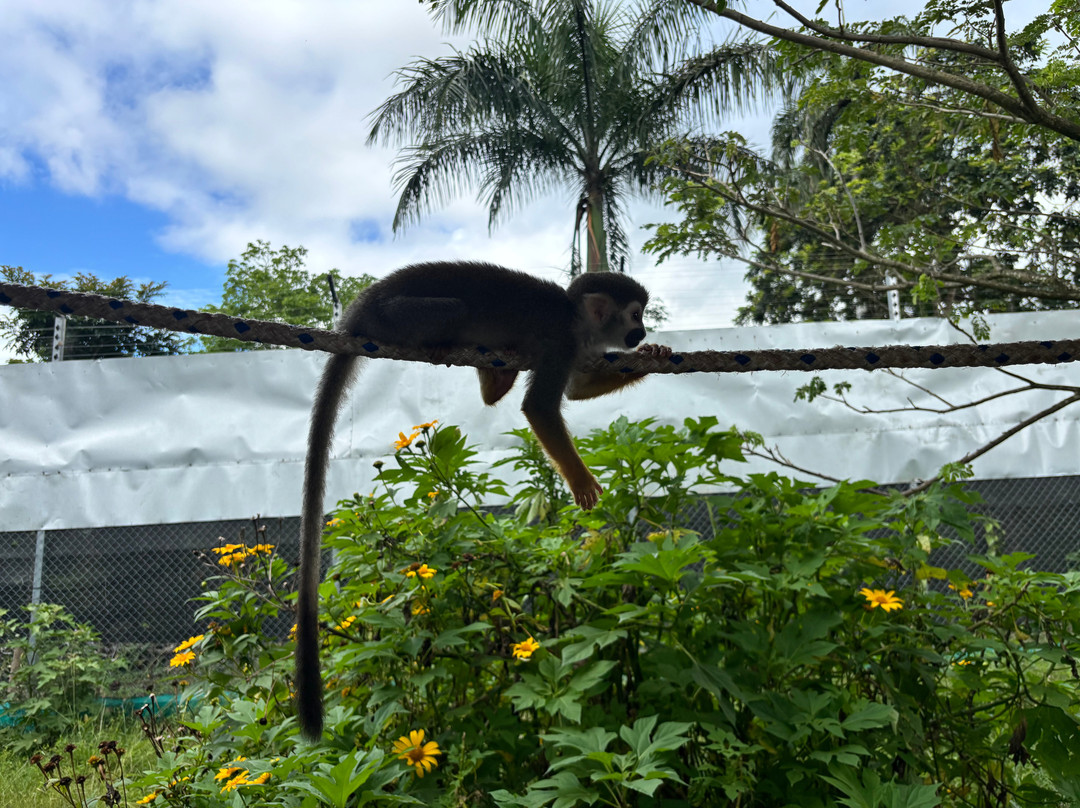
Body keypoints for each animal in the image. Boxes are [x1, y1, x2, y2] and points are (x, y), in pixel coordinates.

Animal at [295, 260, 669, 740]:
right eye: (634, 314)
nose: (641, 333)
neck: (576, 320)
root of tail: (356, 313)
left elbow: (578, 390)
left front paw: (655, 357)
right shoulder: (561, 342)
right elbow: (541, 408)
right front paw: (582, 481)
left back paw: (495, 381)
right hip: (397, 315)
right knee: (451, 310)